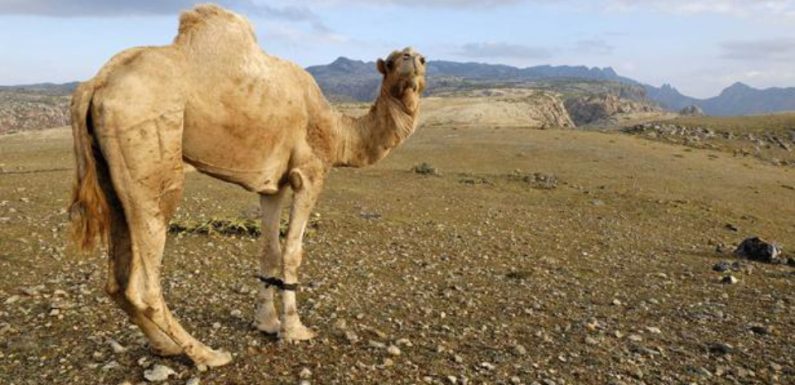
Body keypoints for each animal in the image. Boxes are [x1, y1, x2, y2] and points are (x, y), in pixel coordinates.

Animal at [71, 4, 426, 368]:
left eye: (423, 59)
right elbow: (293, 252)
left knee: (116, 280)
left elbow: (269, 251)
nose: (411, 57)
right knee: (144, 279)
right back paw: (206, 353)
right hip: (150, 155)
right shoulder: (309, 173)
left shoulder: (274, 185)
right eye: (393, 59)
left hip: (111, 174)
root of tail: (95, 83)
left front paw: (267, 323)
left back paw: (167, 346)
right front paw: (295, 330)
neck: (339, 132)